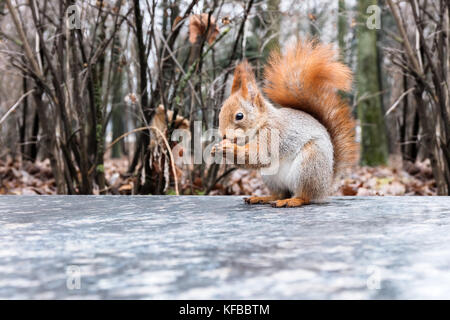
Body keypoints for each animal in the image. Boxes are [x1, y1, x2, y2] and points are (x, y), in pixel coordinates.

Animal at [211, 39, 358, 208]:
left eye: (239, 116)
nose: (223, 135)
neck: (262, 123)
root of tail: (325, 187)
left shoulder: (272, 134)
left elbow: (258, 155)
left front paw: (227, 148)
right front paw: (215, 149)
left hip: (309, 165)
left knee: (305, 197)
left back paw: (292, 200)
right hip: (270, 177)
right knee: (279, 193)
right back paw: (263, 197)